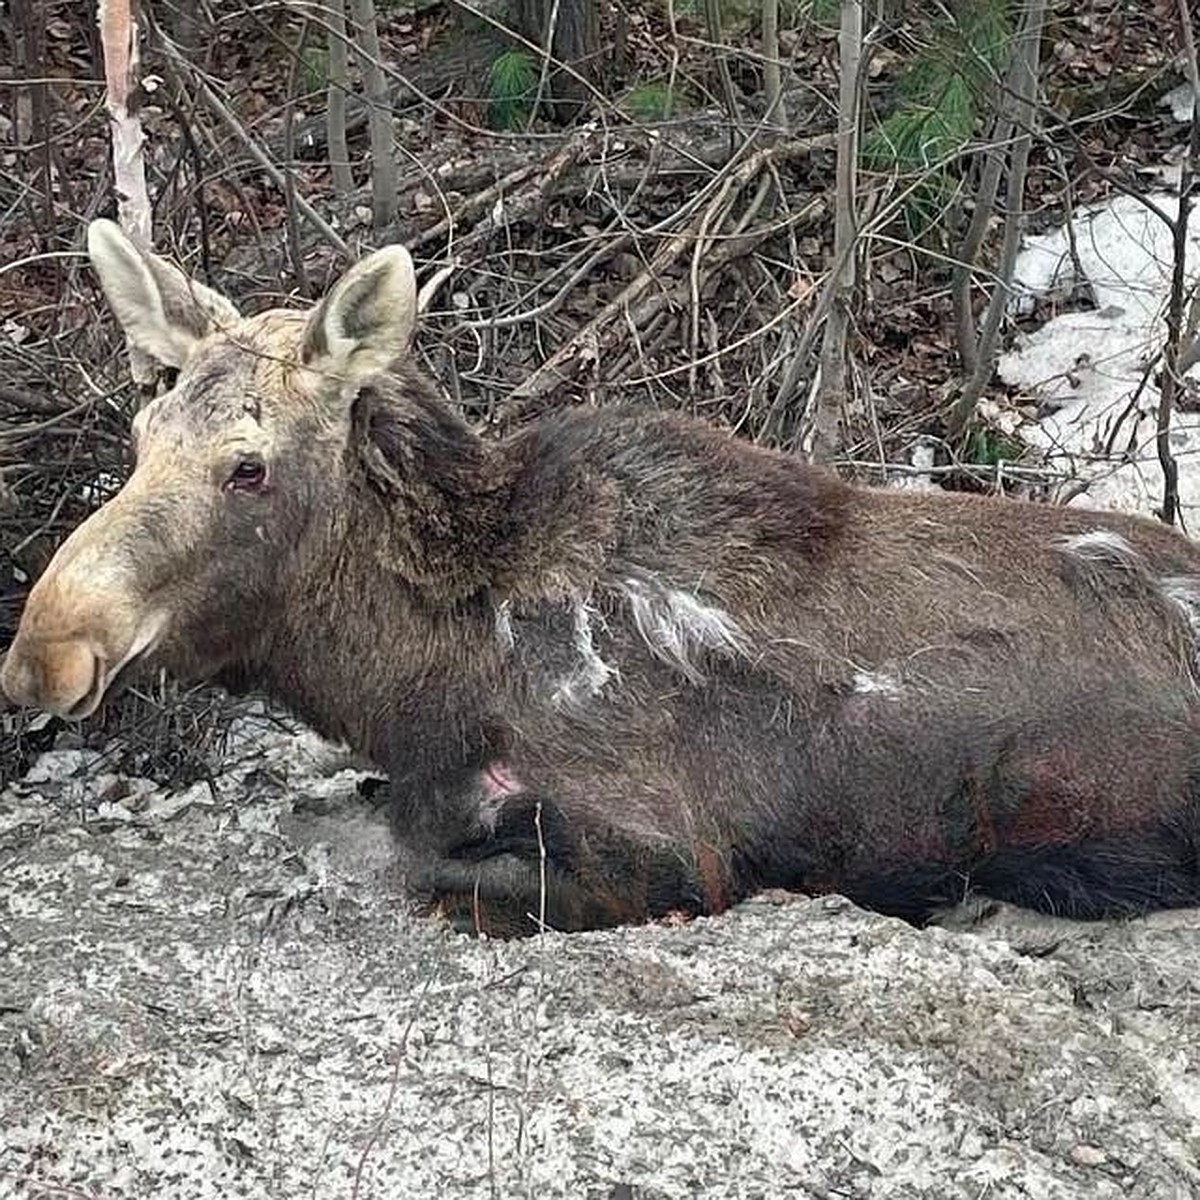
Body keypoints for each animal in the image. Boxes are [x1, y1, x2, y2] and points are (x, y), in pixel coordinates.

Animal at [7, 220, 1200, 936]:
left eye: (246, 465)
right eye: (140, 432)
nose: (42, 652)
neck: (405, 689)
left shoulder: (669, 848)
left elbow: (421, 865)